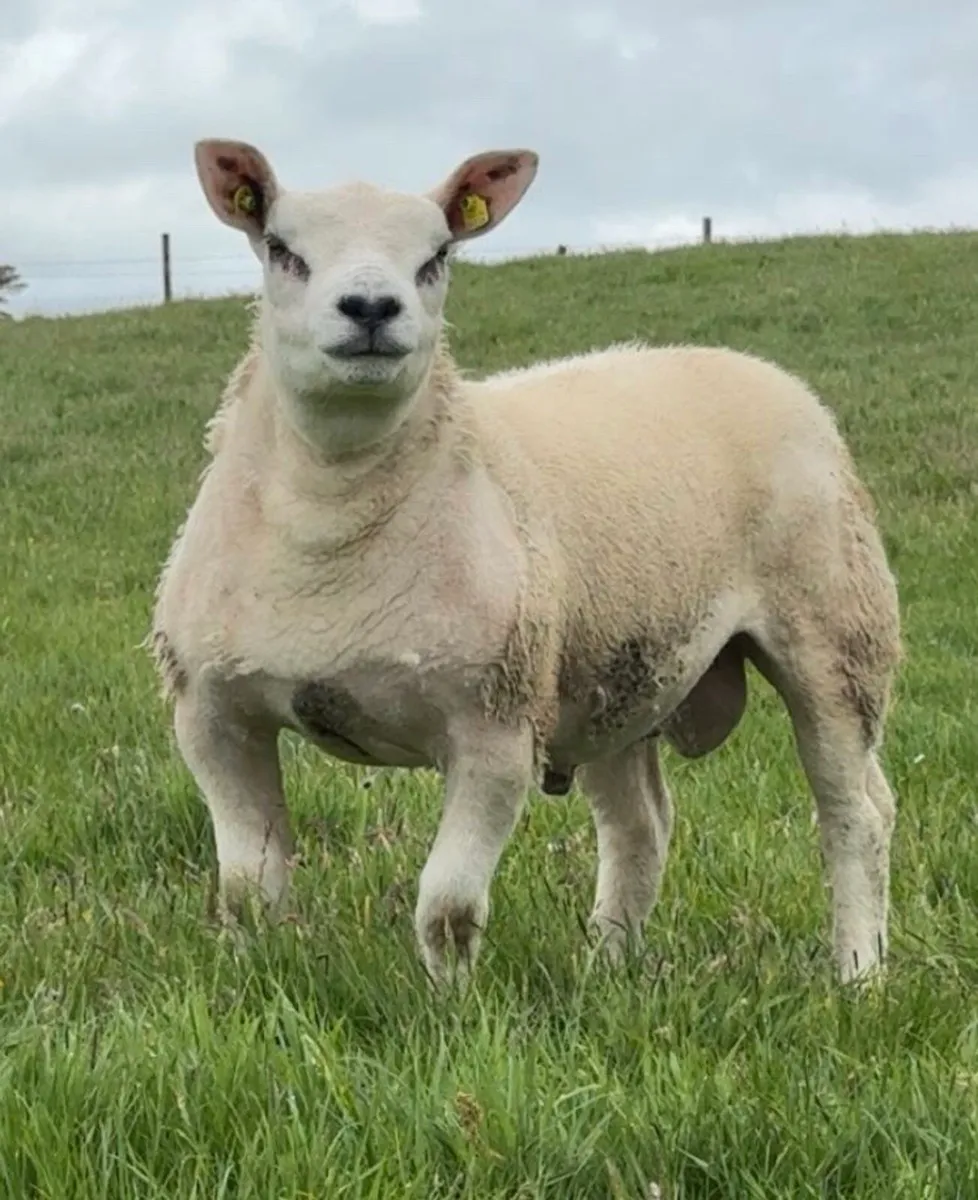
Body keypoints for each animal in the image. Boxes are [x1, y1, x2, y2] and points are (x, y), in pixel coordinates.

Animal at [151, 136, 902, 989]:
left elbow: (446, 908)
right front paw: (254, 981)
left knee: (855, 813)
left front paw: (450, 1006)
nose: (372, 309)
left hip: (834, 635)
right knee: (641, 825)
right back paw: (606, 967)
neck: (332, 524)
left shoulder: (494, 723)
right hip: (613, 669)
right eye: (281, 248)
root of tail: (758, 369)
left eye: (438, 255)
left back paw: (859, 975)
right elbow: (247, 890)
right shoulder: (213, 715)